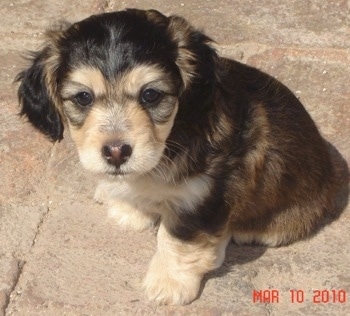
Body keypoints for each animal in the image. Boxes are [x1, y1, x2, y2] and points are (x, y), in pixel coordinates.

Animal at [15, 9, 336, 306]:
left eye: (151, 95)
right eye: (83, 97)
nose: (116, 152)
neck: (171, 140)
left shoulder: (202, 197)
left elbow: (176, 241)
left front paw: (168, 286)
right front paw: (129, 210)